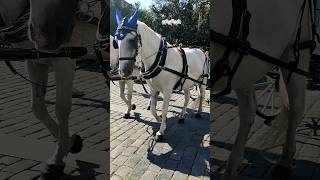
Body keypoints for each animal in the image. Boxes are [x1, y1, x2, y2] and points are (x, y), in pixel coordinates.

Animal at [0, 0, 102, 178]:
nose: (44, 34)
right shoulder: (34, 61)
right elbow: (37, 108)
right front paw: (71, 142)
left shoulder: (65, 59)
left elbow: (61, 108)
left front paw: (57, 159)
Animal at [114, 10, 209, 141]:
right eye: (116, 42)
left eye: (132, 40)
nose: (124, 71)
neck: (160, 59)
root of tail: (201, 51)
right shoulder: (153, 89)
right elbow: (153, 110)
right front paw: (158, 119)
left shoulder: (168, 90)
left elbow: (164, 109)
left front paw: (161, 131)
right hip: (186, 83)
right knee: (187, 98)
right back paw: (182, 116)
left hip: (202, 81)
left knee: (202, 95)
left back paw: (199, 112)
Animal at [212, 0, 312, 179]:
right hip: (245, 66)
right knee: (249, 111)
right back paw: (232, 167)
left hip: (294, 51)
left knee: (296, 107)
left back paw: (285, 161)